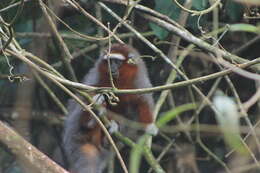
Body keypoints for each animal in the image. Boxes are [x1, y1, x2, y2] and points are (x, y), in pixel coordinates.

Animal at [62, 43, 156, 173]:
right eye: (109, 62)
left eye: (116, 62)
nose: (112, 68)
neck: (120, 82)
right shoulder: (97, 75)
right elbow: (84, 94)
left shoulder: (140, 83)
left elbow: (143, 102)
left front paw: (148, 127)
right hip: (74, 131)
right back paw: (90, 120)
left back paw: (110, 136)